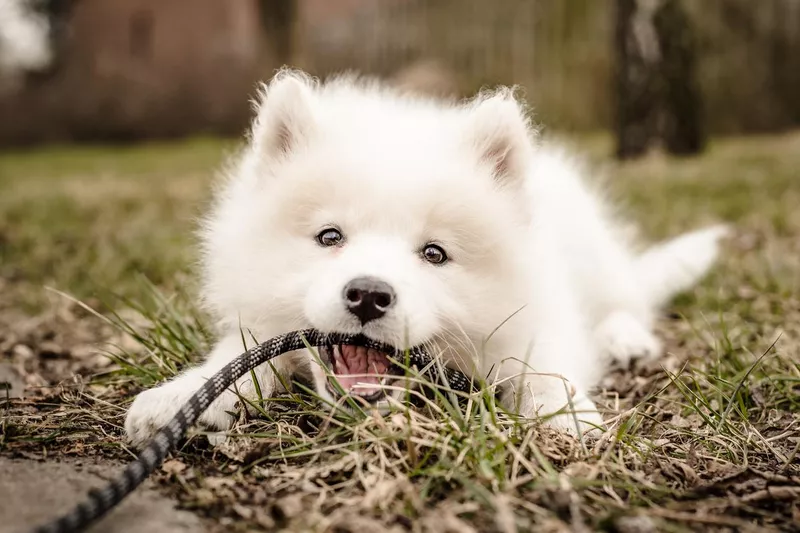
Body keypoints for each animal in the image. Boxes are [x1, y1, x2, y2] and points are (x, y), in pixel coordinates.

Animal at [123, 68, 724, 446]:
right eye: (329, 237)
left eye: (434, 254)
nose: (368, 295)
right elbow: (239, 356)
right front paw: (180, 399)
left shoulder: (543, 315)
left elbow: (544, 368)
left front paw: (568, 417)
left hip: (597, 260)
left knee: (626, 300)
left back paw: (626, 338)